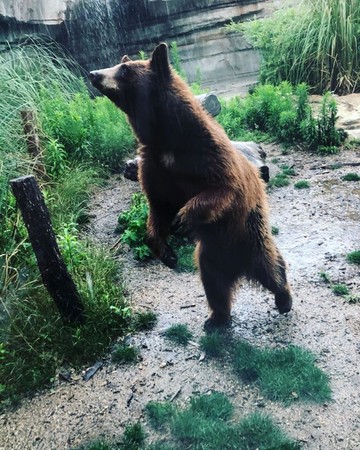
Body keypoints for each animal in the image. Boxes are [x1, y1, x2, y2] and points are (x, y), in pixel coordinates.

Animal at [90, 44, 292, 328]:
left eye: (125, 69)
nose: (93, 74)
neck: (167, 138)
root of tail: (238, 266)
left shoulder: (208, 153)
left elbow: (224, 188)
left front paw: (183, 218)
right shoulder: (154, 165)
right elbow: (157, 205)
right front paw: (166, 252)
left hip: (248, 234)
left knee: (270, 266)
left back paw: (284, 298)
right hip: (209, 257)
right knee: (214, 285)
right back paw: (216, 318)